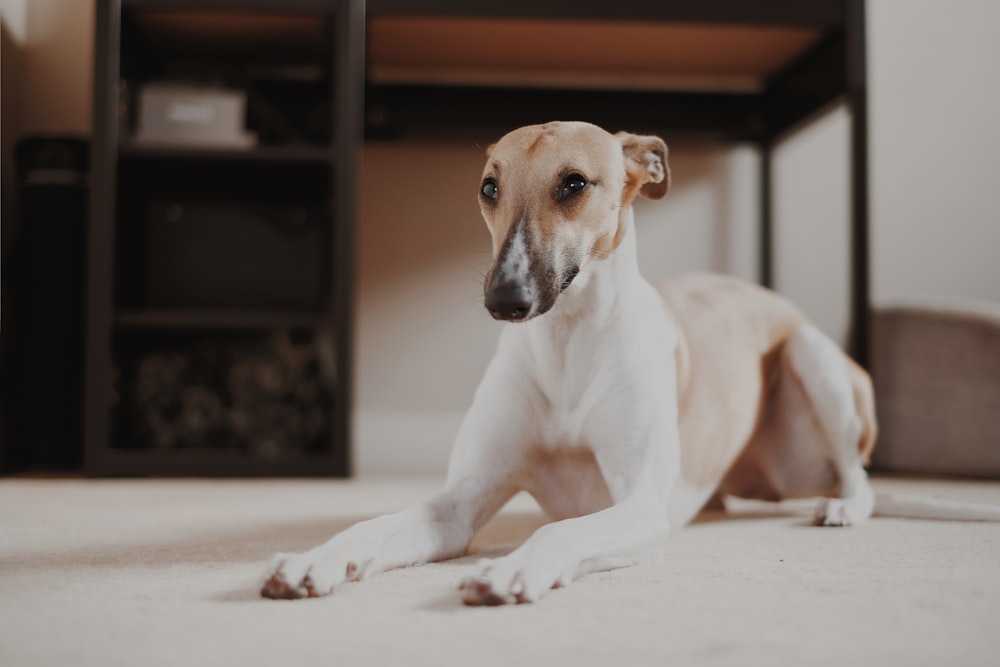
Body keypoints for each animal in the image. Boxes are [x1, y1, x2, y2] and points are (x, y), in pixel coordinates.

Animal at [260, 120, 1000, 604]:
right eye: (489, 187)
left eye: (574, 183)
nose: (505, 300)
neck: (568, 344)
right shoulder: (461, 501)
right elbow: (378, 524)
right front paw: (315, 558)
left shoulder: (641, 506)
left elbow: (563, 530)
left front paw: (510, 568)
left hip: (812, 359)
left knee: (861, 476)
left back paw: (842, 507)